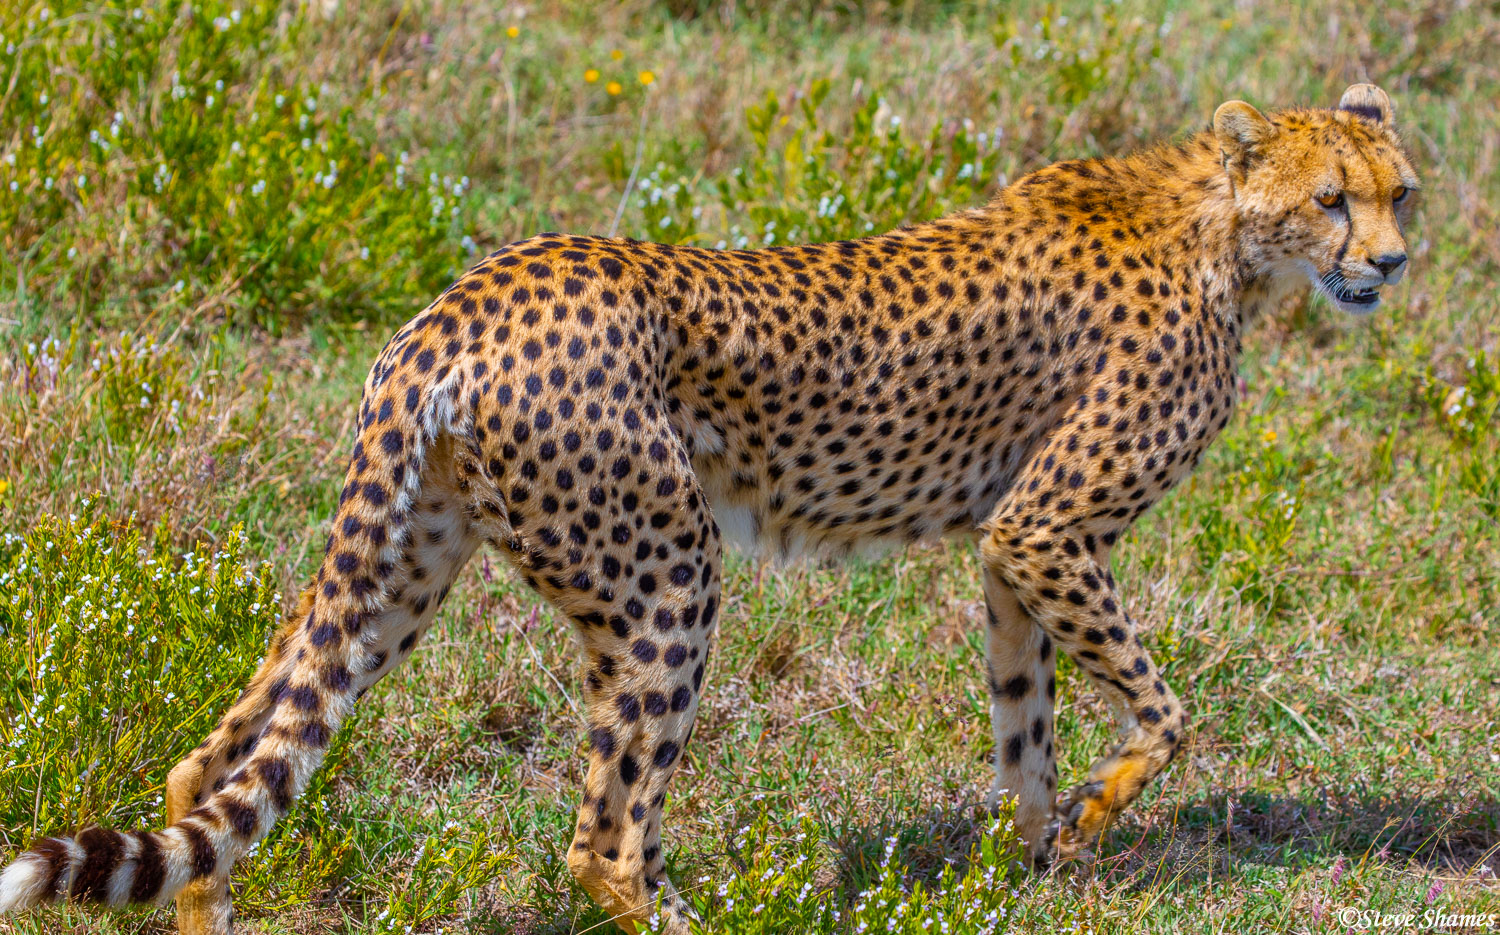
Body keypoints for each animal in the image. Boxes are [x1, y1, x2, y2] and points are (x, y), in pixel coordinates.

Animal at [0, 84, 1410, 930]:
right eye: (1331, 197)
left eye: (1399, 188)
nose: (1393, 262)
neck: (1221, 228)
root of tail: (467, 297)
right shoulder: (1048, 524)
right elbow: (1166, 709)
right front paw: (1101, 814)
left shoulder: (1012, 547)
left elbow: (1027, 720)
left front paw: (1038, 860)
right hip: (665, 574)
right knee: (603, 838)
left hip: (406, 558)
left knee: (218, 764)